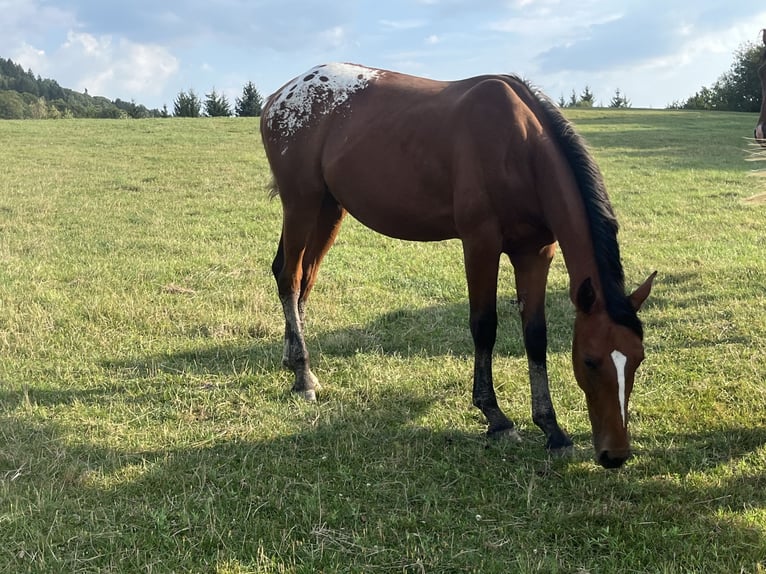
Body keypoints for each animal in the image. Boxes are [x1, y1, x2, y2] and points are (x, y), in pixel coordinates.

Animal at [260, 63, 656, 470]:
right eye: (590, 361)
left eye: (638, 360)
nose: (615, 454)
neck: (520, 147)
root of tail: (282, 94)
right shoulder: (480, 244)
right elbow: (484, 326)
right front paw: (496, 417)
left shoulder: (535, 252)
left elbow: (535, 335)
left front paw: (551, 428)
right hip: (301, 203)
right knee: (291, 279)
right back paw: (304, 376)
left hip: (329, 208)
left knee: (302, 278)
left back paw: (293, 360)